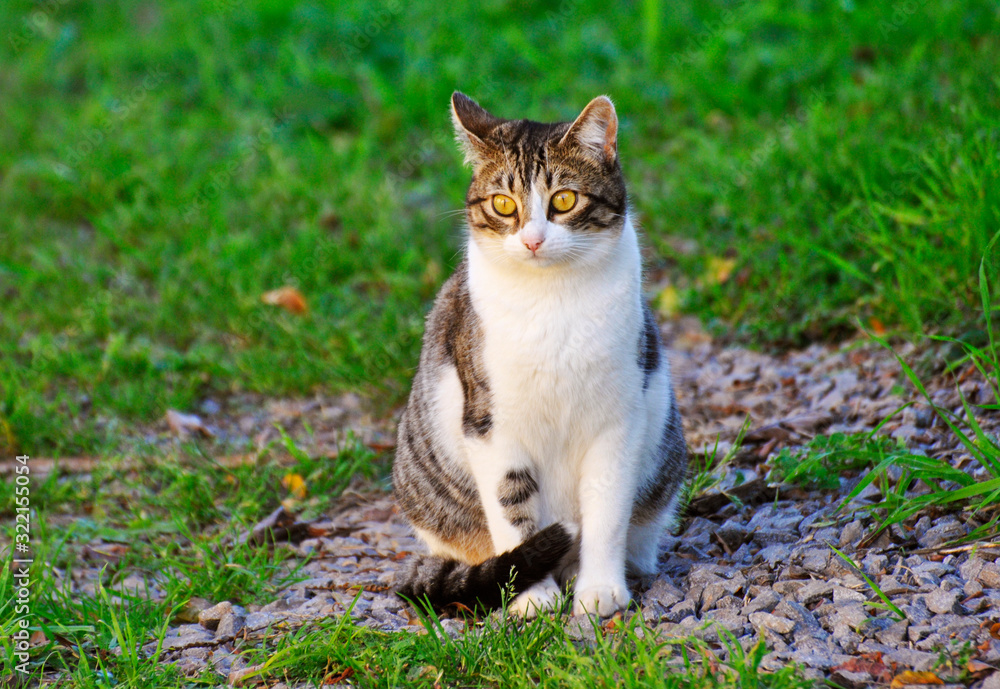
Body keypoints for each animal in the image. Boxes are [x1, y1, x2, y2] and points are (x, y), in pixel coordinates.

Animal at [392, 92, 688, 620]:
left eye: (564, 200)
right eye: (503, 204)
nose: (532, 240)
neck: (553, 304)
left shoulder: (620, 421)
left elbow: (607, 512)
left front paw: (600, 591)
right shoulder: (492, 427)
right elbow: (512, 509)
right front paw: (530, 596)